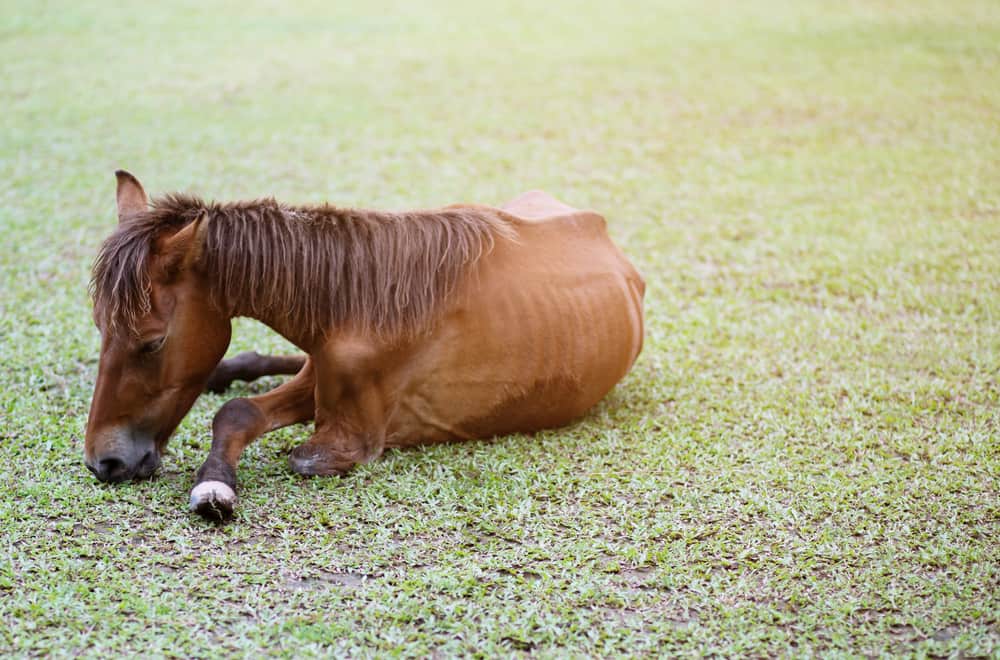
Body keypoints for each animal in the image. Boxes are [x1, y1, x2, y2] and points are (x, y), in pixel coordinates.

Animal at [85, 171, 645, 521]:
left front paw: (214, 488)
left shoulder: (347, 440)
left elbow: (295, 453)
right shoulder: (317, 378)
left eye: (152, 343)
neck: (359, 302)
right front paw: (215, 481)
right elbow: (237, 412)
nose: (102, 463)